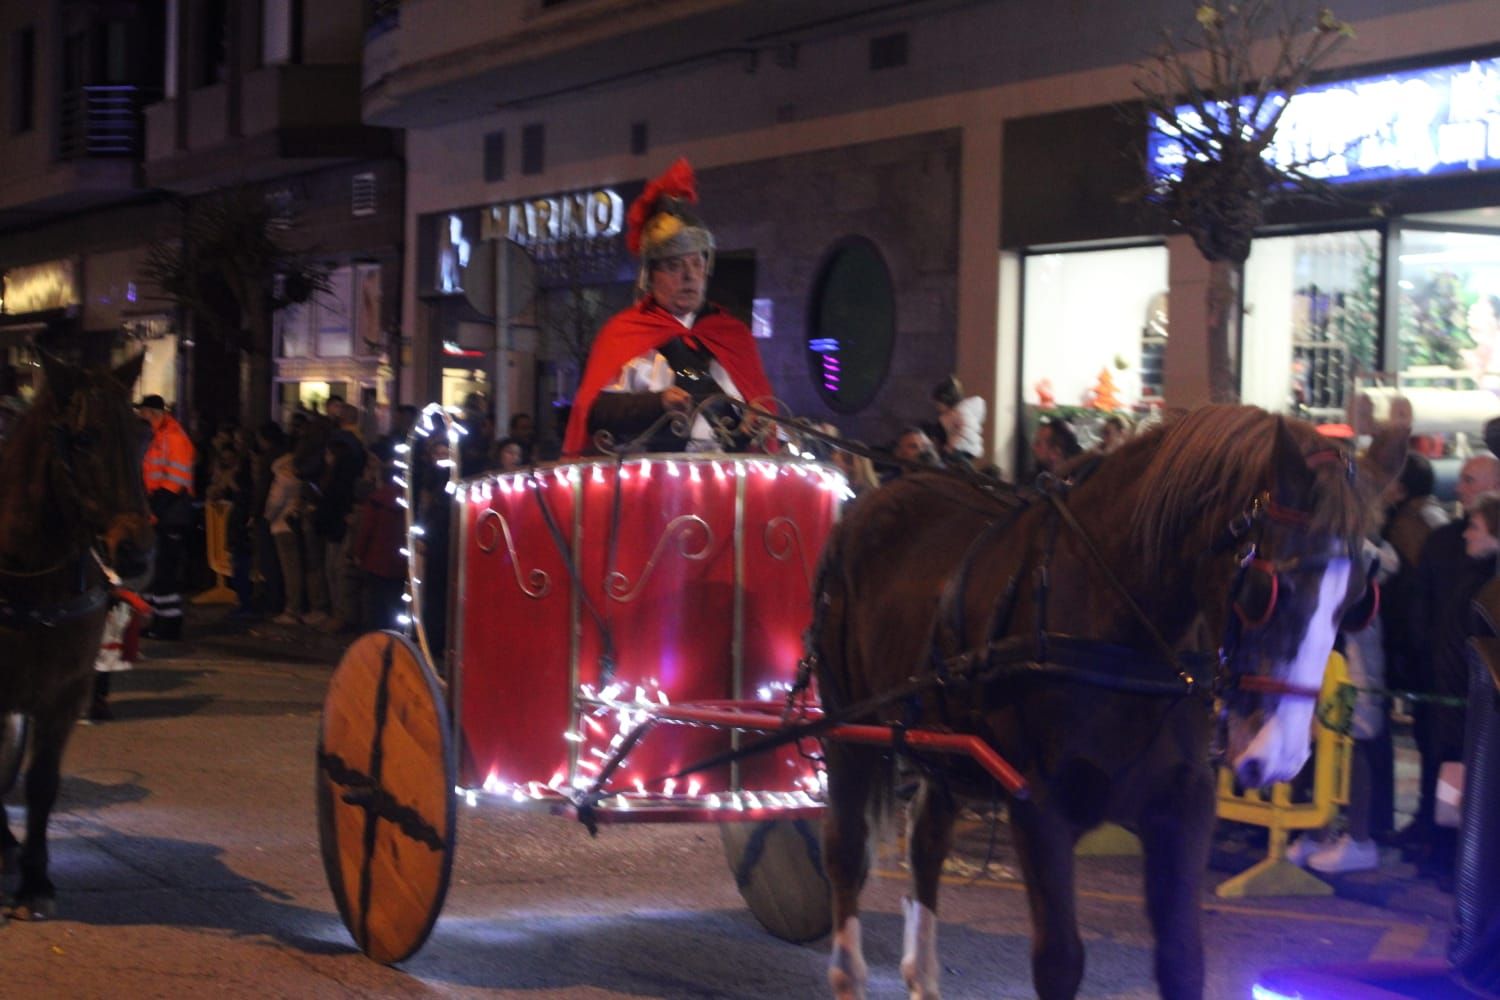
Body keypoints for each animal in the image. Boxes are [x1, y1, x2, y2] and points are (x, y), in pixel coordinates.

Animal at [0, 355, 152, 929]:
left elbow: (42, 782)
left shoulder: (64, 690)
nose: (134, 552)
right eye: (85, 438)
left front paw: (35, 881)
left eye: (142, 435)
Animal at [810, 407, 1404, 1000]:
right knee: (844, 848)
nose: (1280, 757)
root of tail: (875, 499)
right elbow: (1060, 960)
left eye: (1359, 601)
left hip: (943, 748)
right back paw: (847, 972)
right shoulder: (1039, 803)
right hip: (848, 728)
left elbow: (1182, 960)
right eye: (1263, 590)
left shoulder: (1183, 803)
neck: (1121, 632)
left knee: (927, 842)